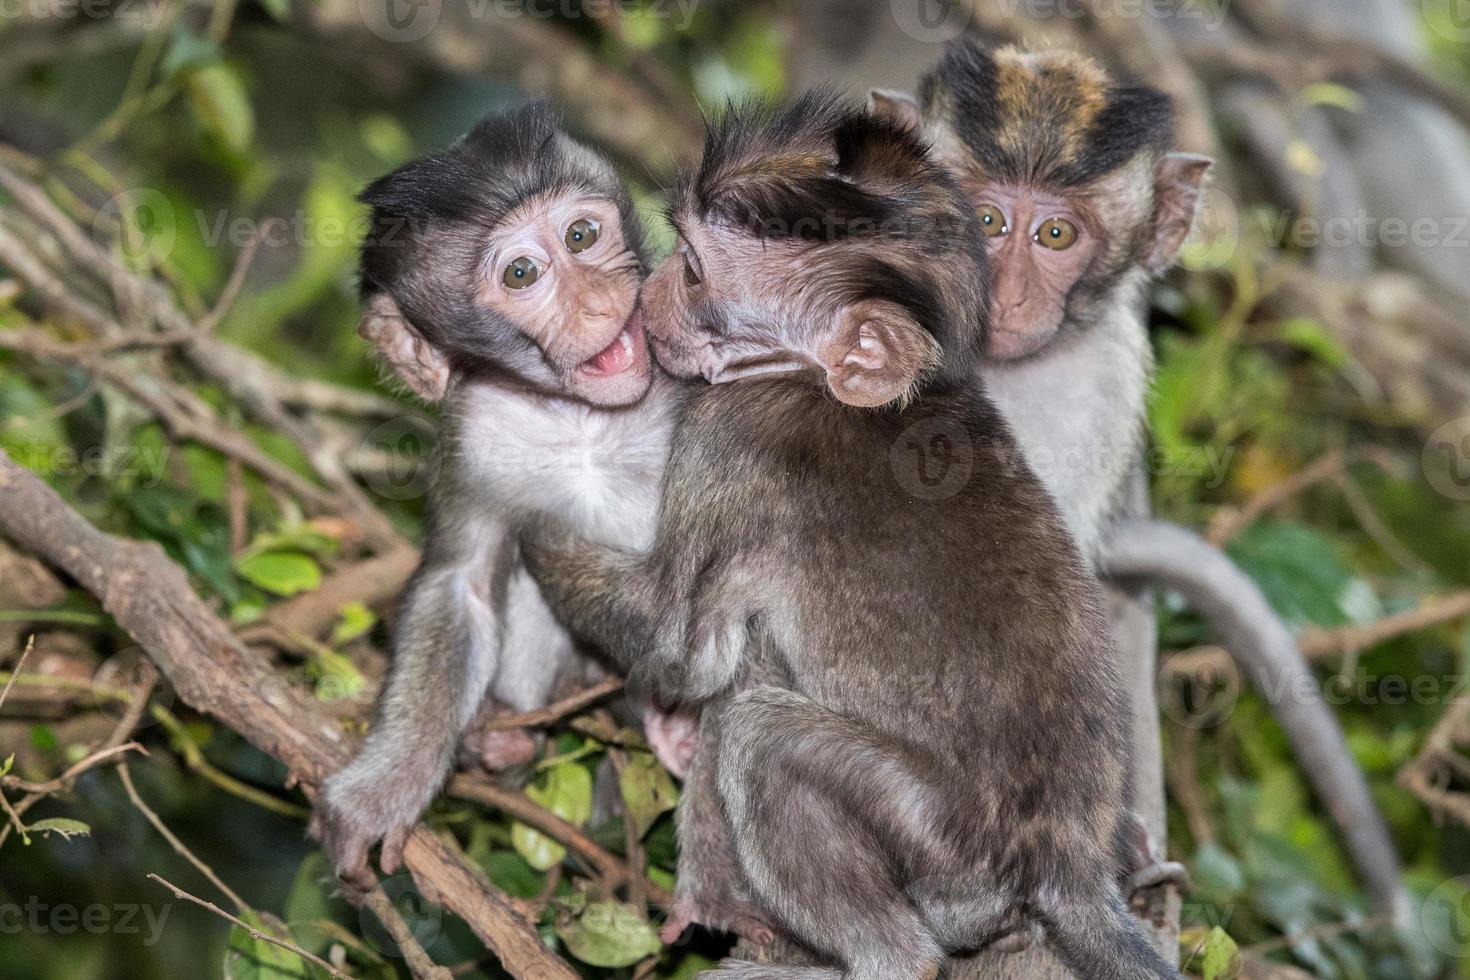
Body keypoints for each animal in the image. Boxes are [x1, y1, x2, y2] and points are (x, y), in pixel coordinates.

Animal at [313, 107, 685, 899]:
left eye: (582, 235)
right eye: (521, 274)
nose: (598, 297)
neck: (581, 420)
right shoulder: (475, 434)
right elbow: (464, 583)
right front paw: (384, 788)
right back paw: (508, 740)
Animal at [517, 91, 1181, 980]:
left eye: (691, 269)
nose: (646, 289)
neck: (816, 382)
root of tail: (1067, 859)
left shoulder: (726, 439)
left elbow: (683, 648)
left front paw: (537, 539)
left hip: (940, 841)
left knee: (760, 736)